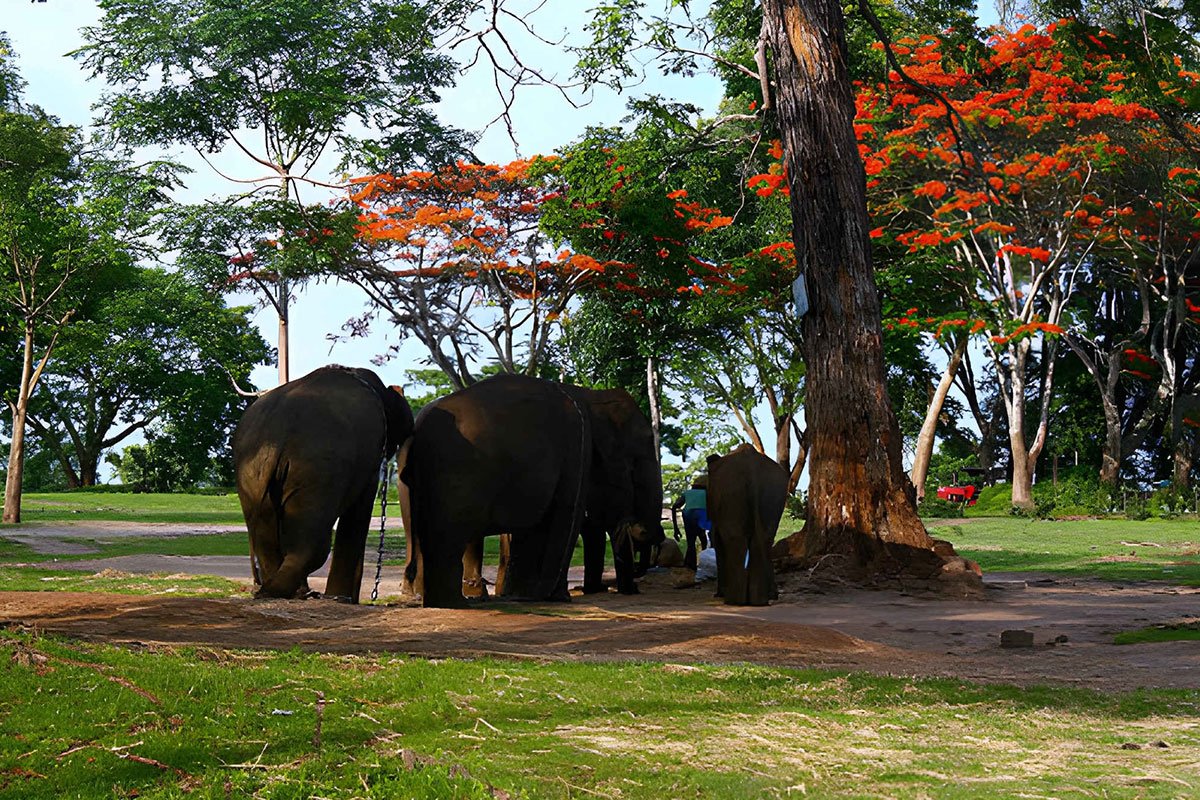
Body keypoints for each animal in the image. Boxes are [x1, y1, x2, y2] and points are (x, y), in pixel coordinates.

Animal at [233, 365, 413, 602]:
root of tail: (276, 432)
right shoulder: (371, 454)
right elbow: (360, 507)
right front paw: (343, 599)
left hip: (250, 471)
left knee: (268, 536)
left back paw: (280, 591)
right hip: (318, 470)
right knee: (314, 544)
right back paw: (287, 591)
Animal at [399, 374, 593, 608]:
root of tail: (419, 428)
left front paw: (523, 596)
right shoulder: (576, 451)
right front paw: (552, 597)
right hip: (457, 472)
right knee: (449, 535)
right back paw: (454, 603)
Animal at [705, 444, 788, 606]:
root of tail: (751, 470)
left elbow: (717, 539)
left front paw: (719, 594)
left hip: (731, 494)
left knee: (734, 539)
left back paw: (733, 600)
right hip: (772, 494)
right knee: (763, 540)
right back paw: (759, 601)